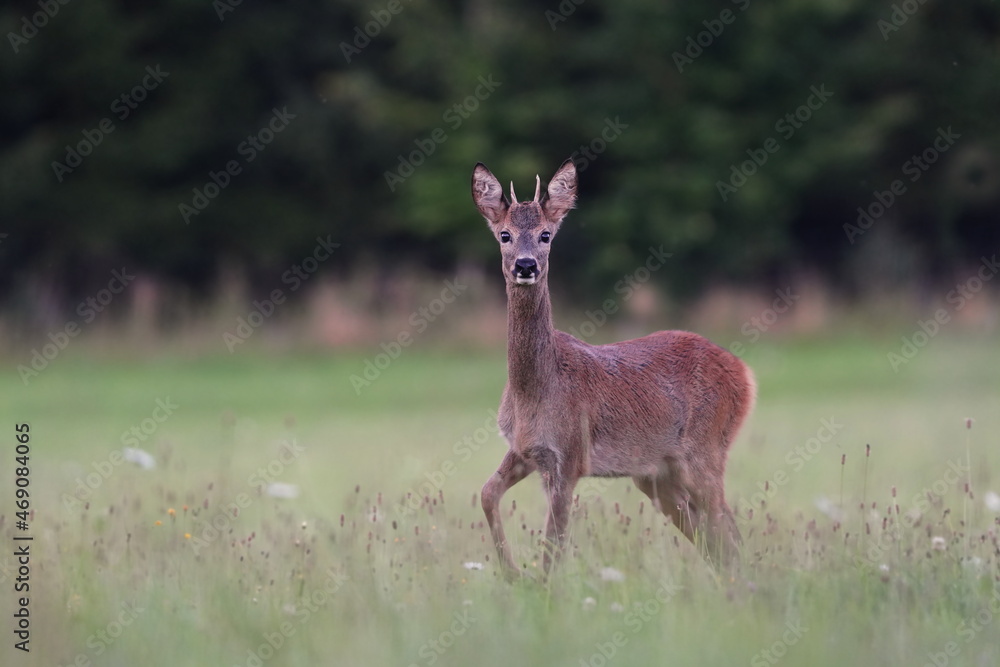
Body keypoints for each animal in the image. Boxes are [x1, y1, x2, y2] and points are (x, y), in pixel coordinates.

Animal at [472, 159, 756, 579]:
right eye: (504, 234)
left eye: (546, 235)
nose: (525, 266)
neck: (533, 390)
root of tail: (744, 371)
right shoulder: (525, 449)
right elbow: (487, 494)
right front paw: (511, 573)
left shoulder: (569, 456)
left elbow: (553, 552)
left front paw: (533, 584)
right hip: (656, 473)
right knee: (713, 535)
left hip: (706, 450)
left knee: (727, 528)